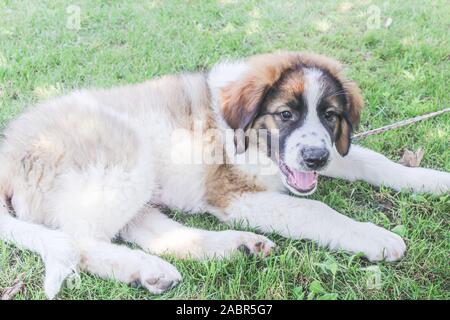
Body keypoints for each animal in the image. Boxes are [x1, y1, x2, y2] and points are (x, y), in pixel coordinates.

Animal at [0, 50, 448, 298]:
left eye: (330, 116)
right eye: (285, 115)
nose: (316, 159)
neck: (248, 137)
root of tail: (9, 151)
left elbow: (374, 161)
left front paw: (433, 179)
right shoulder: (232, 193)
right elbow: (315, 209)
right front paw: (374, 237)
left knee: (156, 234)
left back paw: (228, 249)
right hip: (124, 159)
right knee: (78, 242)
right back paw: (144, 268)